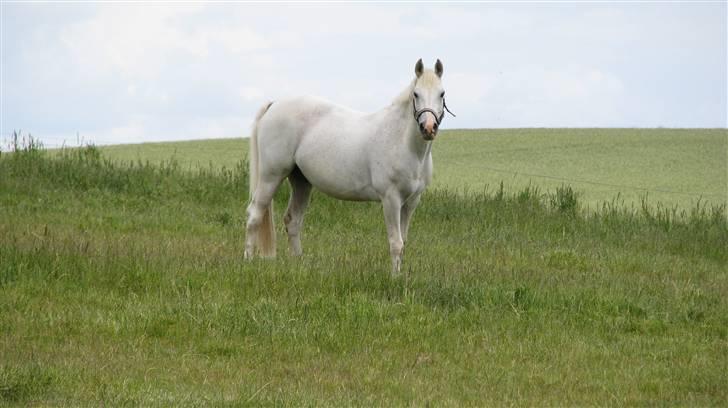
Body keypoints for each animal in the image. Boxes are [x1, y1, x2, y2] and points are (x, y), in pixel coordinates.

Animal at [246, 58, 450, 274]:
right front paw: (394, 277)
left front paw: (401, 275)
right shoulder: (391, 199)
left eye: (442, 94)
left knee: (292, 221)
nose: (428, 128)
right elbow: (396, 242)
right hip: (271, 176)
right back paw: (247, 260)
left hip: (301, 182)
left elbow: (404, 242)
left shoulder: (412, 201)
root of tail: (274, 104)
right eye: (416, 94)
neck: (402, 141)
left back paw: (298, 264)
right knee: (254, 215)